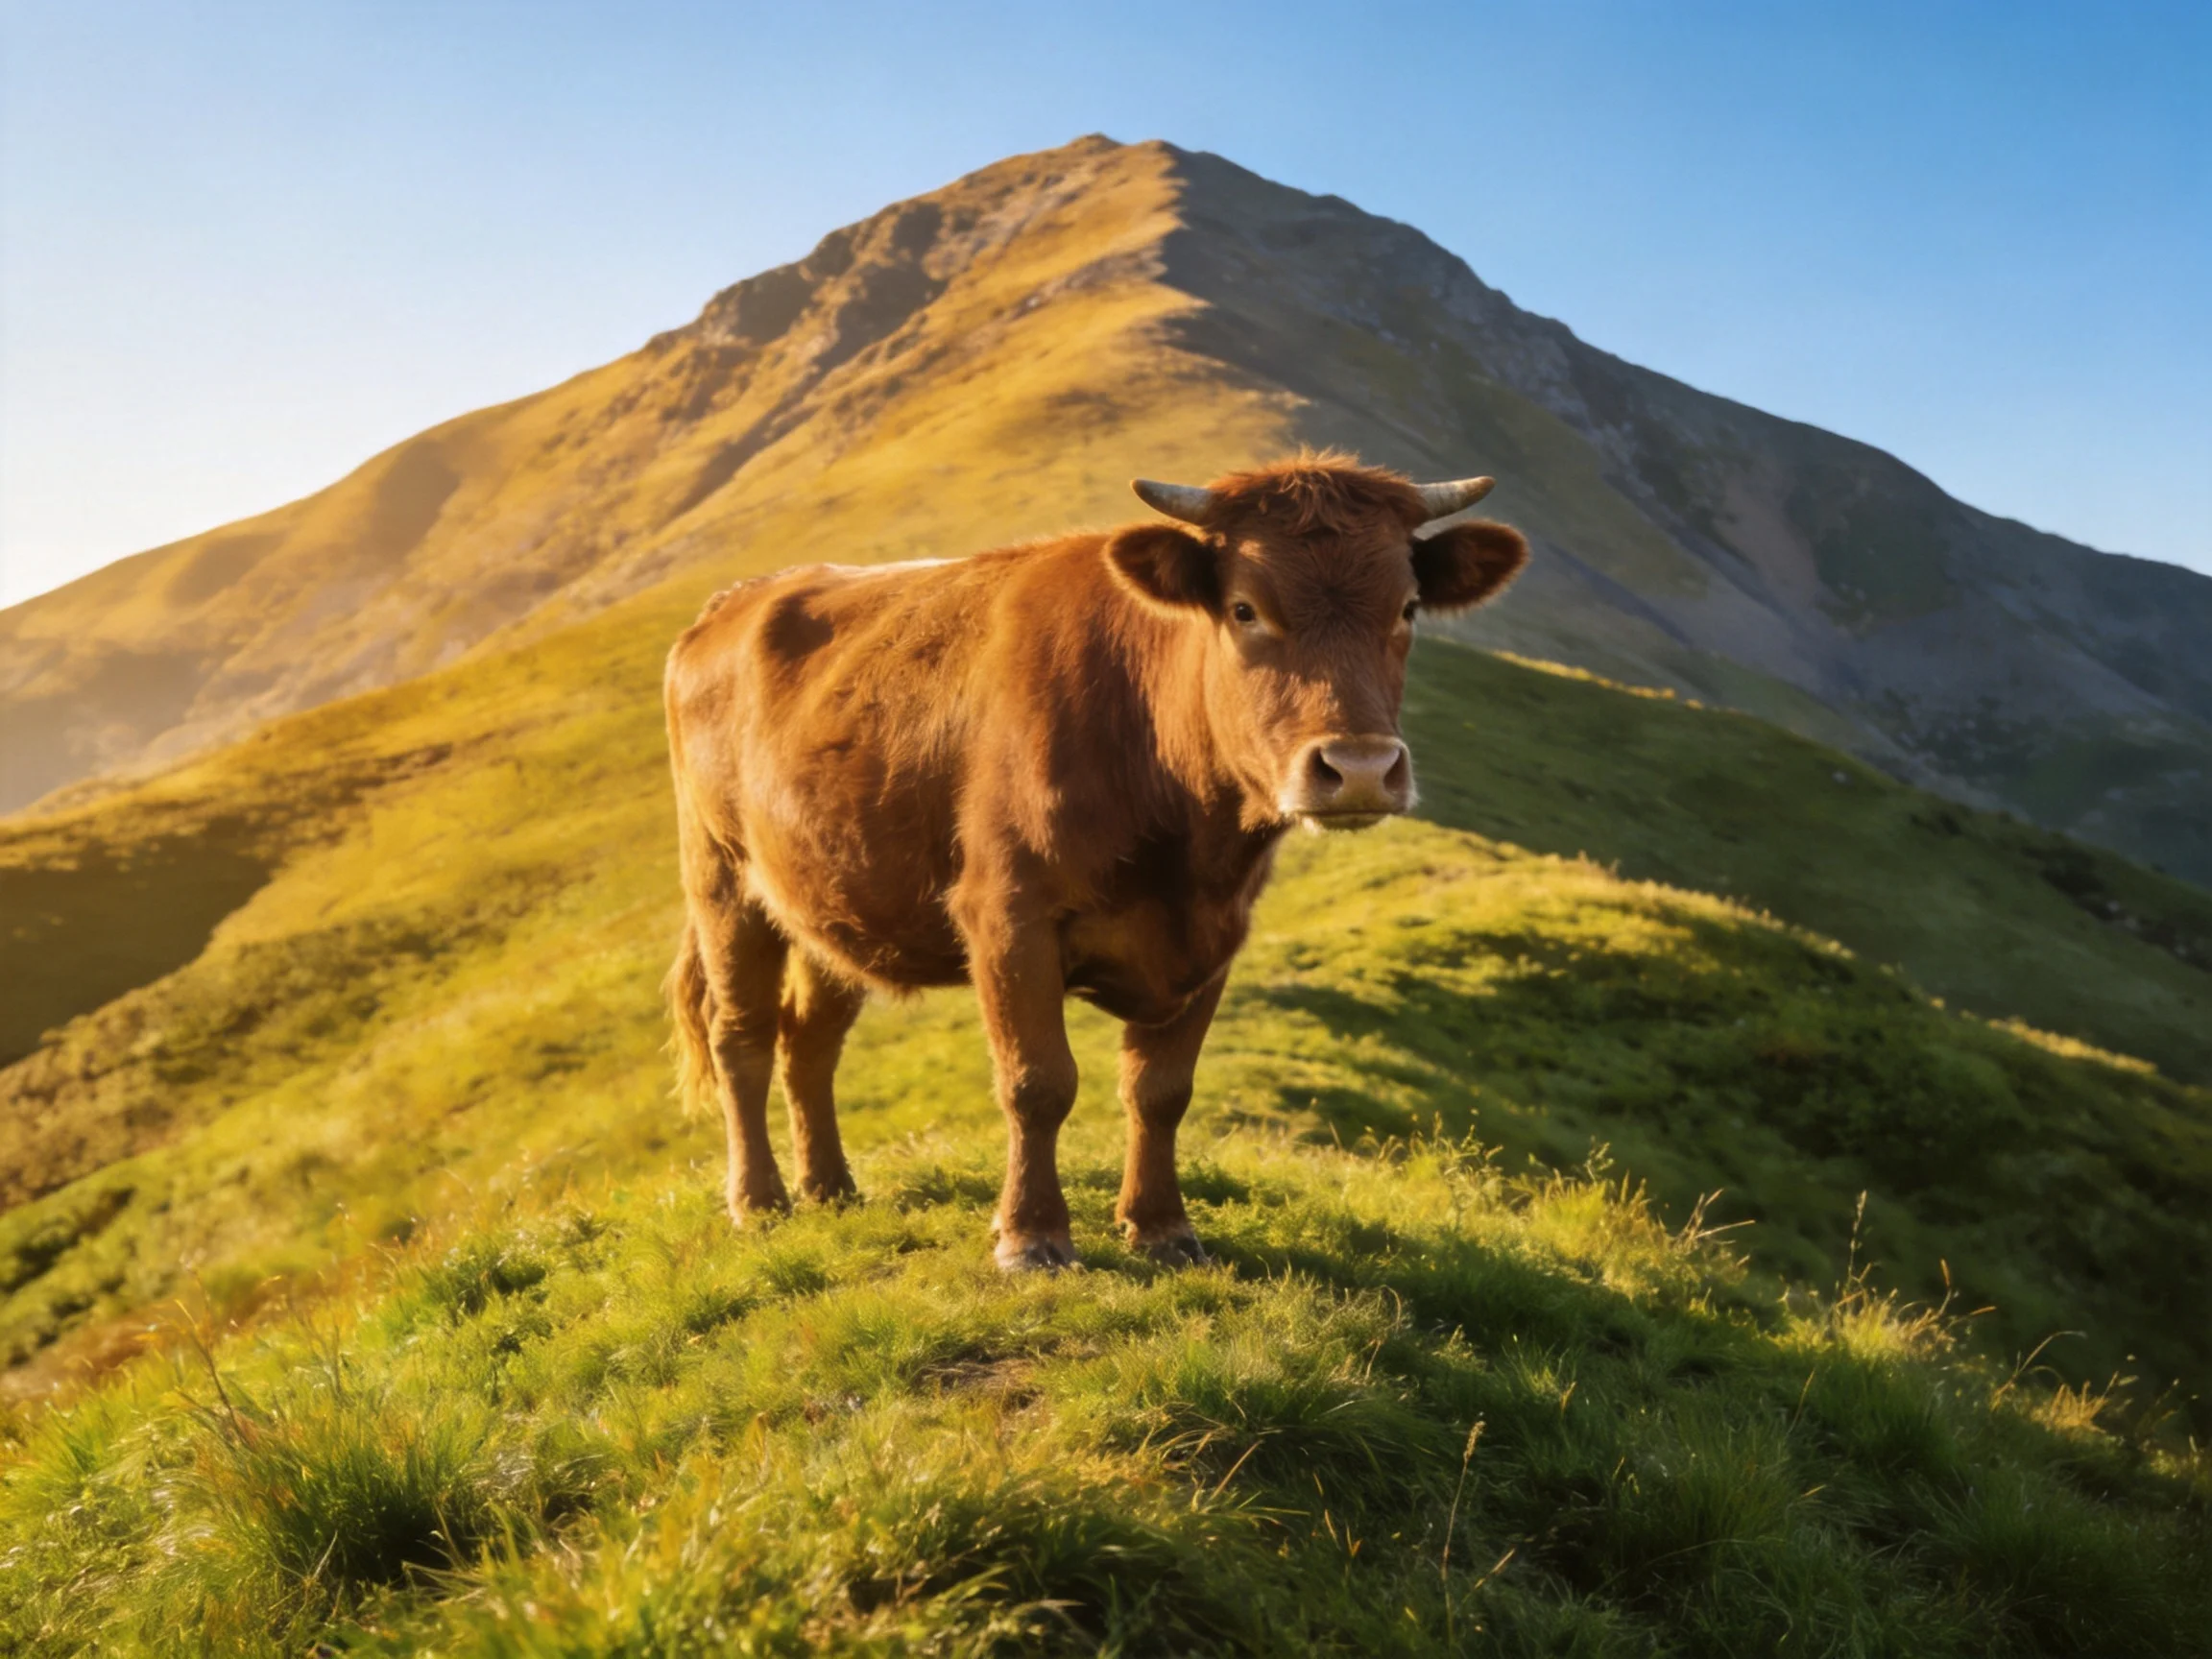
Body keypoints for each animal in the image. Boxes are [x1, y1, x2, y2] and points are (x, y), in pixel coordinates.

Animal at [664, 455, 1527, 1269]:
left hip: (827, 901)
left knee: (809, 1039)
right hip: (723, 880)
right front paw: (1031, 1236)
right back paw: (760, 1200)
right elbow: (1038, 1082)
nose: (1358, 768)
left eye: (1407, 608)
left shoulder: (1214, 936)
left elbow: (1160, 1090)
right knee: (740, 1035)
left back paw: (831, 1189)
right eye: (1245, 608)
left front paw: (1161, 1226)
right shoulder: (1007, 916)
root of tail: (730, 604)